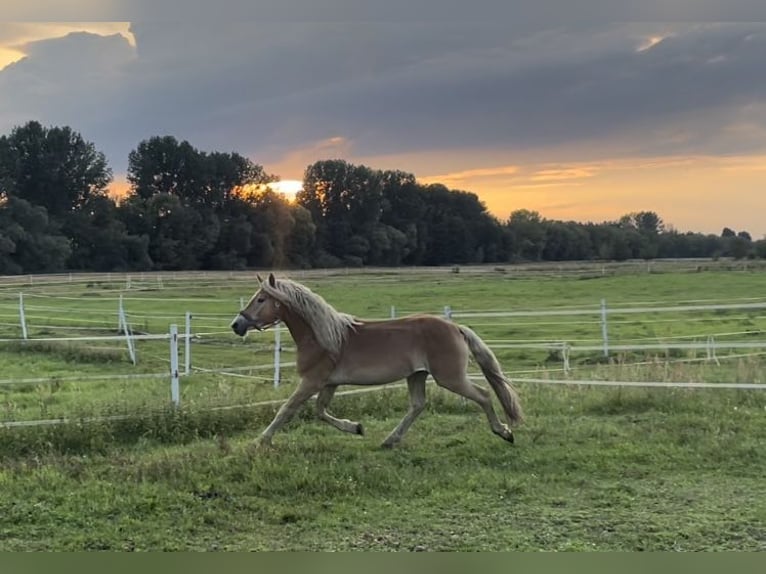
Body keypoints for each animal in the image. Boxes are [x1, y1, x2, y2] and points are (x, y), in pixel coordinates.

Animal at [231, 274, 524, 450]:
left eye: (261, 299)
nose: (236, 324)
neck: (322, 336)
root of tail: (456, 328)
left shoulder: (312, 381)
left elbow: (286, 410)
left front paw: (258, 442)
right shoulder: (329, 383)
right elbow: (320, 411)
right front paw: (356, 427)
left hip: (449, 377)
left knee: (484, 395)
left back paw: (504, 432)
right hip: (417, 375)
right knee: (418, 405)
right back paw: (389, 440)